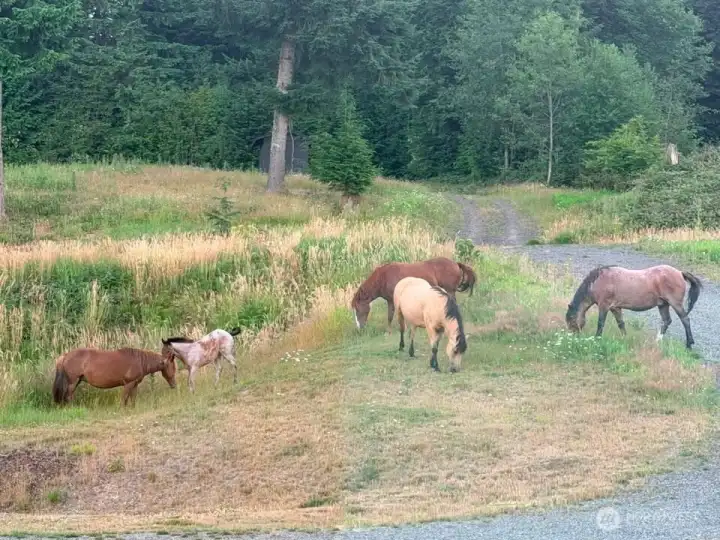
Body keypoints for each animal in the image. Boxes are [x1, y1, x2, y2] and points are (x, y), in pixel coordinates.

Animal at [565, 264, 702, 349]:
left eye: (571, 319)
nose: (573, 337)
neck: (599, 281)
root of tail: (680, 273)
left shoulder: (604, 306)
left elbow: (601, 323)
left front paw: (597, 339)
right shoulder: (615, 308)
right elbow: (621, 324)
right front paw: (625, 338)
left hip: (675, 303)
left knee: (685, 320)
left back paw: (689, 344)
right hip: (663, 304)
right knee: (666, 321)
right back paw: (657, 342)